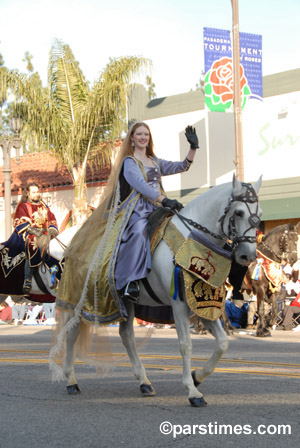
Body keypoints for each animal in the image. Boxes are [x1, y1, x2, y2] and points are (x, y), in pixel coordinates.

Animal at [51, 177, 260, 408]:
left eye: (259, 214)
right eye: (239, 212)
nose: (248, 256)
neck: (192, 239)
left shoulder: (201, 304)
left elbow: (223, 343)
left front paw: (197, 376)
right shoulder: (179, 303)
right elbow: (185, 345)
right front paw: (192, 391)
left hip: (126, 303)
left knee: (127, 336)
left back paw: (144, 381)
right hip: (76, 301)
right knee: (71, 335)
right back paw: (71, 380)